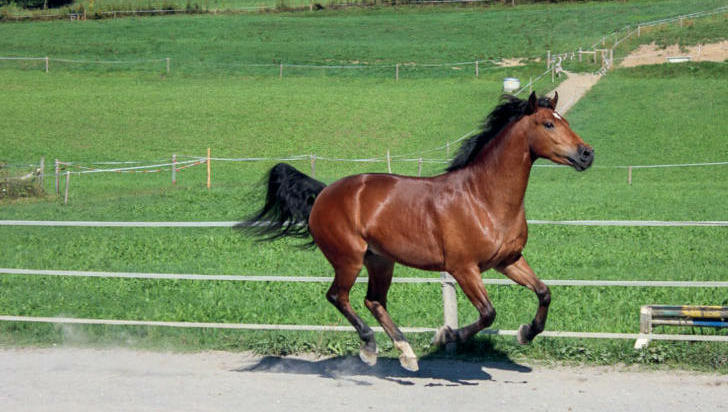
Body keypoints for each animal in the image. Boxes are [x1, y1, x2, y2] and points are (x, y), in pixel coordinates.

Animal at [242, 92, 594, 372]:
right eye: (548, 124)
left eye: (564, 120)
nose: (587, 154)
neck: (482, 198)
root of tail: (324, 193)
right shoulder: (463, 268)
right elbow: (488, 313)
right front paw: (445, 335)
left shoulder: (508, 260)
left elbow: (544, 292)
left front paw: (525, 332)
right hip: (348, 259)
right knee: (338, 296)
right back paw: (370, 347)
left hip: (380, 260)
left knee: (374, 301)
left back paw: (406, 353)